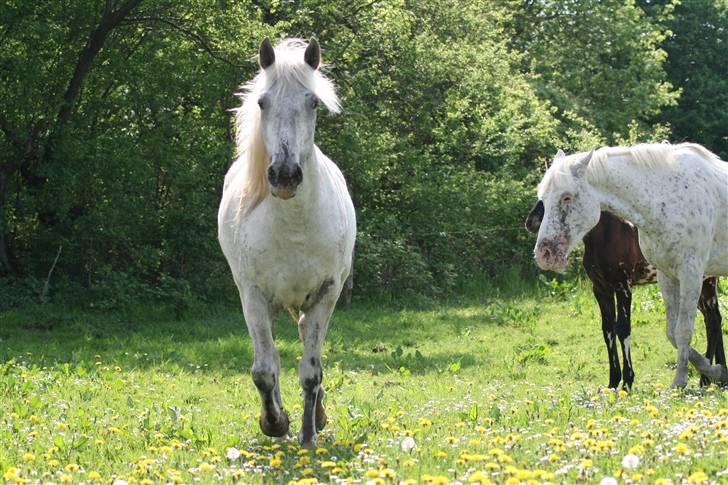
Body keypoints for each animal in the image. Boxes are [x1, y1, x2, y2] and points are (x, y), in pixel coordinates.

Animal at [218, 37, 356, 446]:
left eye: (313, 103)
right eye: (263, 102)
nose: (284, 176)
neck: (293, 226)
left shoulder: (327, 293)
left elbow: (311, 369)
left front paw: (309, 433)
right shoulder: (253, 296)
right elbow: (264, 369)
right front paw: (275, 423)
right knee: (274, 359)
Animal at [532, 142, 724, 388]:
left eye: (566, 198)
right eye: (543, 199)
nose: (544, 254)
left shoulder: (672, 277)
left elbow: (670, 330)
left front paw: (670, 380)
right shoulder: (652, 278)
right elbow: (626, 331)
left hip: (705, 281)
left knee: (712, 320)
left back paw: (707, 378)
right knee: (713, 319)